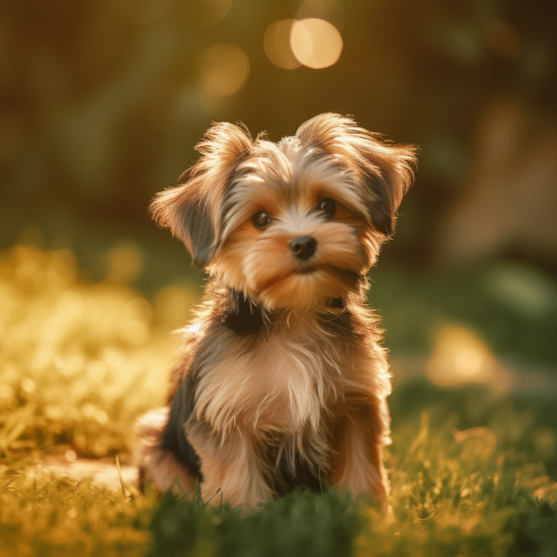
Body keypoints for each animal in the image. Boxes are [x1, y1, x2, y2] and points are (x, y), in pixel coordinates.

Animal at [134, 113, 412, 508]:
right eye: (261, 219)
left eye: (327, 206)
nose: (303, 243)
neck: (294, 314)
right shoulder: (227, 411)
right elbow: (236, 473)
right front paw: (245, 514)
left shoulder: (358, 401)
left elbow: (362, 461)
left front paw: (366, 510)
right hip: (156, 442)